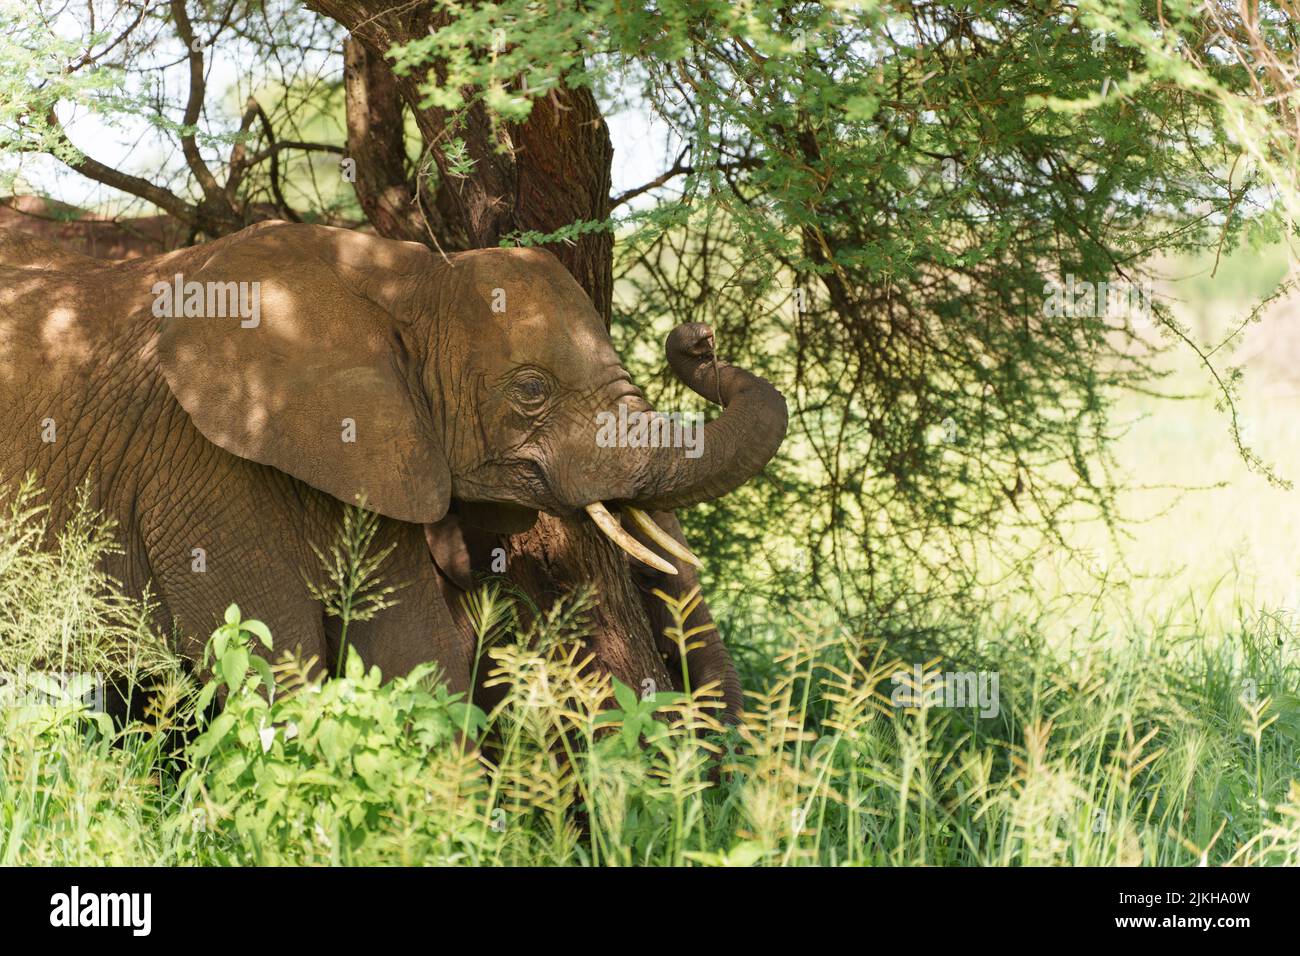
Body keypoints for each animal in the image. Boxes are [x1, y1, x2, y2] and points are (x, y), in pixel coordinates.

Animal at [0, 222, 785, 717]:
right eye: (531, 390)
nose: (697, 338)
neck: (400, 278)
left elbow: (414, 650)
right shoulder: (198, 466)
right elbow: (271, 660)